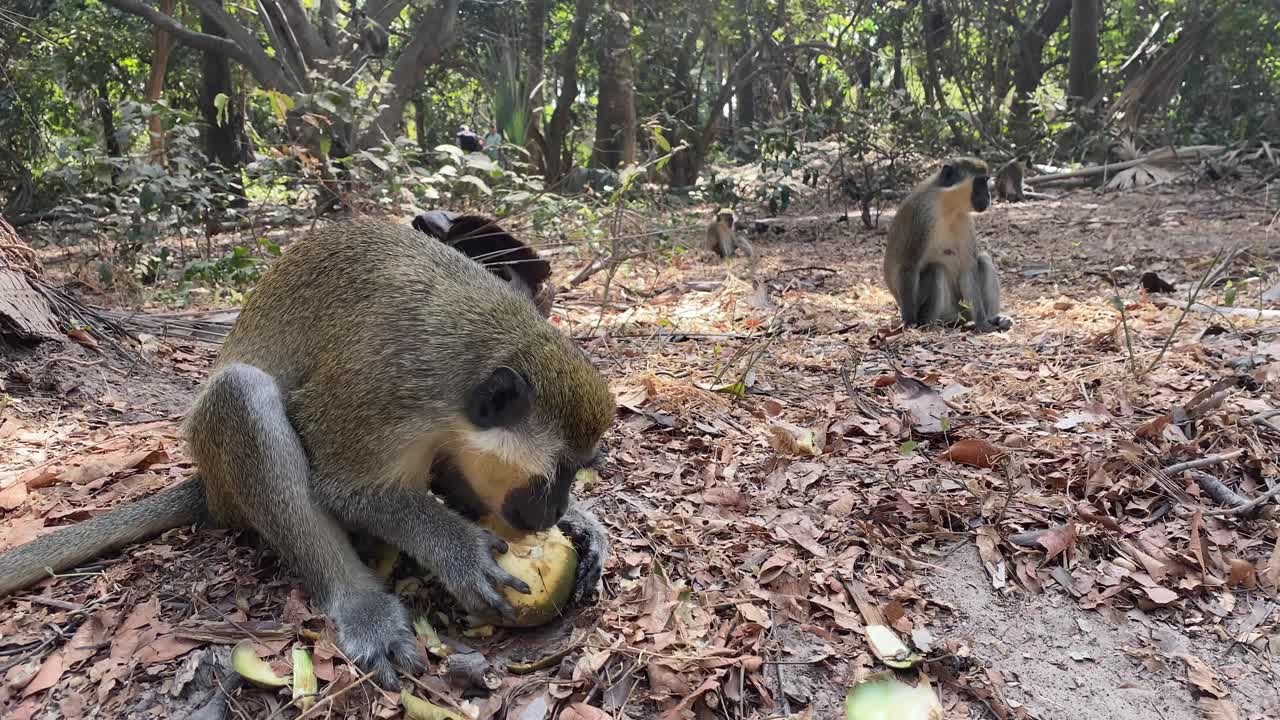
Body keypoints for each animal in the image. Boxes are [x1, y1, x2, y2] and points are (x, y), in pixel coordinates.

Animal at [883, 157, 1012, 333]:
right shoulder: (922, 215)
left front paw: (983, 323)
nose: (989, 195)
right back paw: (928, 324)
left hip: (963, 309)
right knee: (936, 269)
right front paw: (910, 323)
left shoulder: (964, 219)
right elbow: (909, 265)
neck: (946, 205)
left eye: (986, 182)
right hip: (944, 309)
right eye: (980, 182)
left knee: (984, 260)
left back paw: (993, 318)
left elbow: (968, 268)